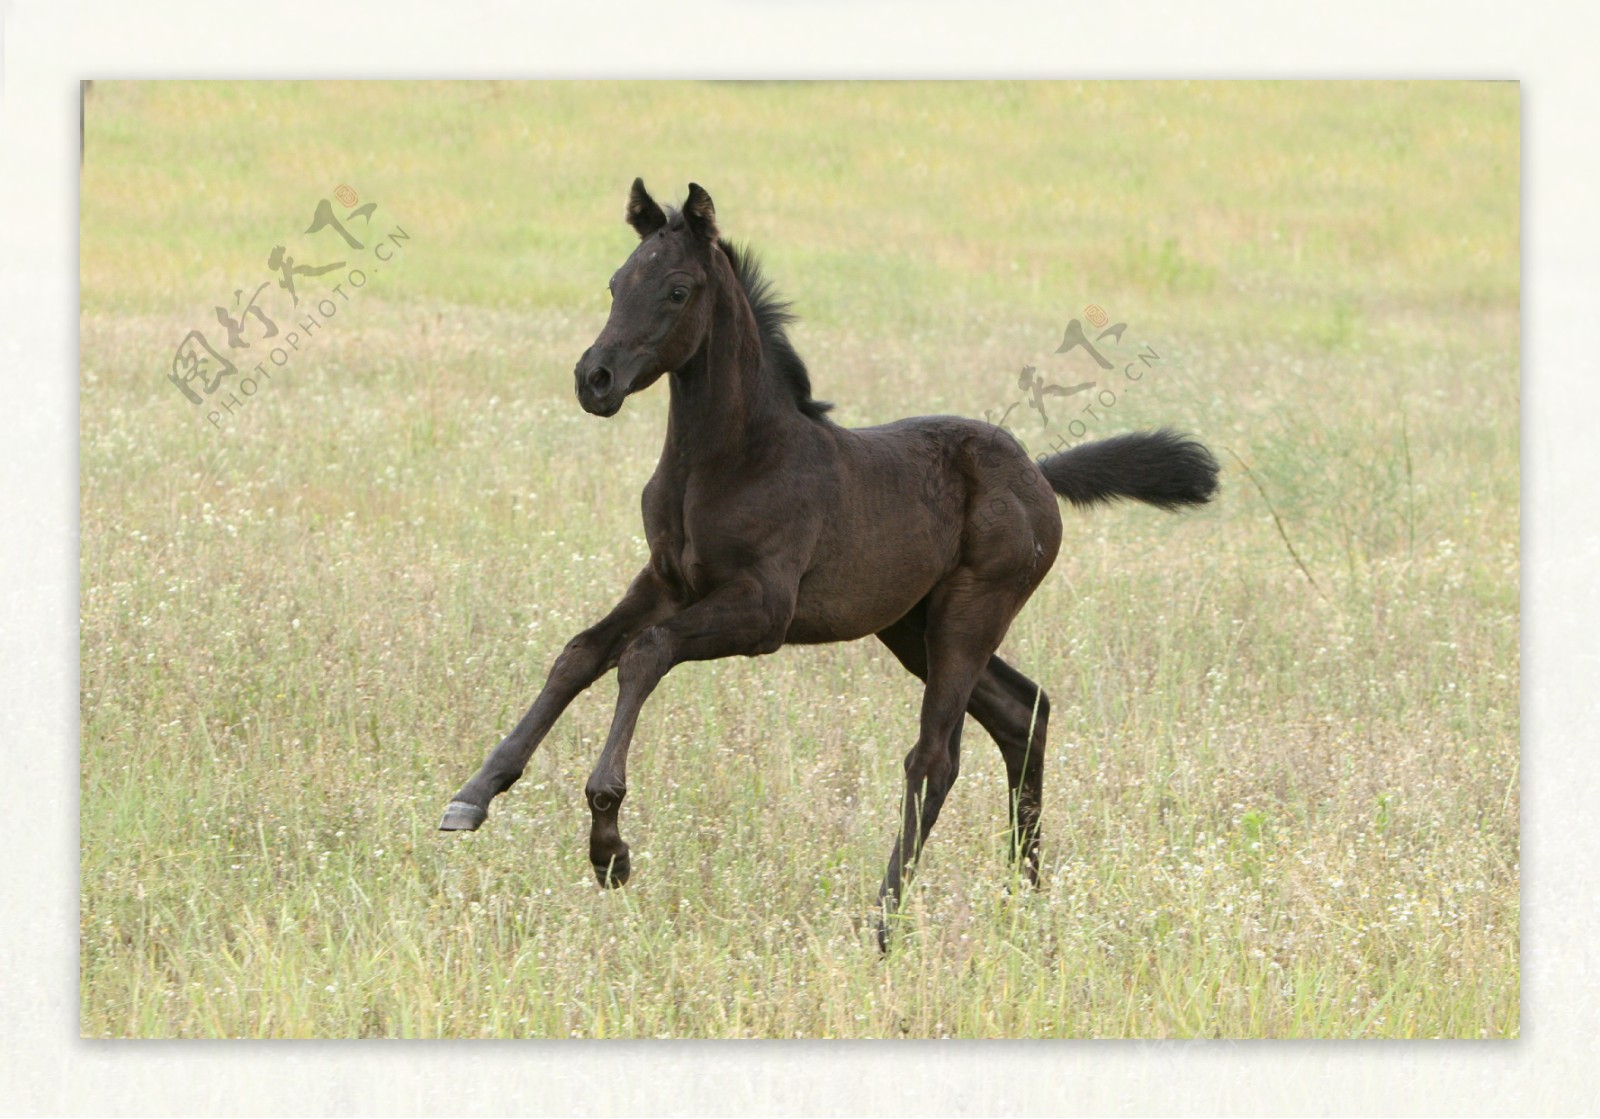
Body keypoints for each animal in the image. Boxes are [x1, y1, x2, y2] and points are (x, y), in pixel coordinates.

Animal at [438, 179, 1209, 947]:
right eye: (616, 283)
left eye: (678, 291)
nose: (594, 379)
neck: (729, 459)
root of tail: (1038, 474)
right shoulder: (663, 580)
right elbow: (580, 652)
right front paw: (473, 794)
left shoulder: (762, 610)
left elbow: (645, 653)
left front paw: (609, 846)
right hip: (911, 625)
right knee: (1022, 712)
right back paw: (1025, 896)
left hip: (973, 610)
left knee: (935, 757)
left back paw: (886, 921)